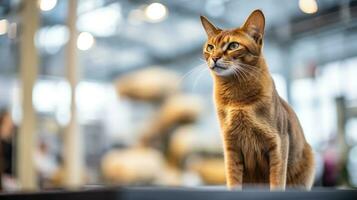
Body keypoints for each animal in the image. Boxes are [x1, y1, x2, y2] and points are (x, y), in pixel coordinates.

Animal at [200, 9, 314, 191]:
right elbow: (233, 180)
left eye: (233, 46)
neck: (237, 100)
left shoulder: (279, 144)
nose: (215, 58)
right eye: (210, 47)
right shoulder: (231, 147)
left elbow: (276, 182)